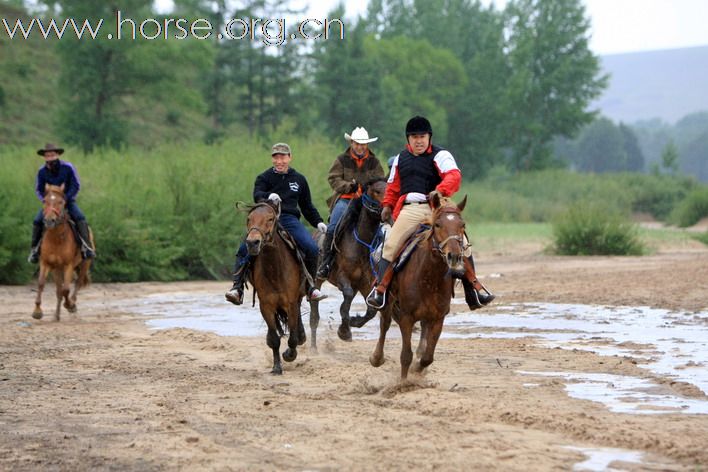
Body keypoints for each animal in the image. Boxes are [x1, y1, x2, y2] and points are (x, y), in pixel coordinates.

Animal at [32, 183, 92, 320]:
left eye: (61, 202)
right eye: (45, 201)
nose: (49, 220)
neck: (56, 238)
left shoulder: (68, 265)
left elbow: (66, 289)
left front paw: (69, 305)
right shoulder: (46, 263)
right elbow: (41, 283)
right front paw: (37, 311)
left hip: (85, 263)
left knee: (78, 283)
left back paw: (72, 303)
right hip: (56, 269)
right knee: (59, 291)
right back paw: (57, 315)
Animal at [245, 201, 306, 374]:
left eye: (270, 219)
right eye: (249, 219)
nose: (252, 243)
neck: (274, 270)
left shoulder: (291, 303)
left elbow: (292, 338)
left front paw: (289, 355)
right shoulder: (266, 305)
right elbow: (274, 339)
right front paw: (277, 367)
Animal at [310, 179, 388, 348]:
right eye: (377, 191)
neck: (361, 245)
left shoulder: (365, 284)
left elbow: (371, 311)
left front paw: (351, 324)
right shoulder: (342, 277)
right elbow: (346, 298)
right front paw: (344, 330)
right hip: (317, 279)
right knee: (314, 315)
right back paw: (313, 347)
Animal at [368, 192, 468, 380]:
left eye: (462, 224)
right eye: (438, 224)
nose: (454, 256)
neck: (429, 277)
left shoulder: (438, 318)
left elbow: (428, 357)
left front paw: (417, 369)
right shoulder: (407, 317)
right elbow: (405, 355)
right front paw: (403, 383)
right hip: (388, 301)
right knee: (385, 323)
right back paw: (376, 357)